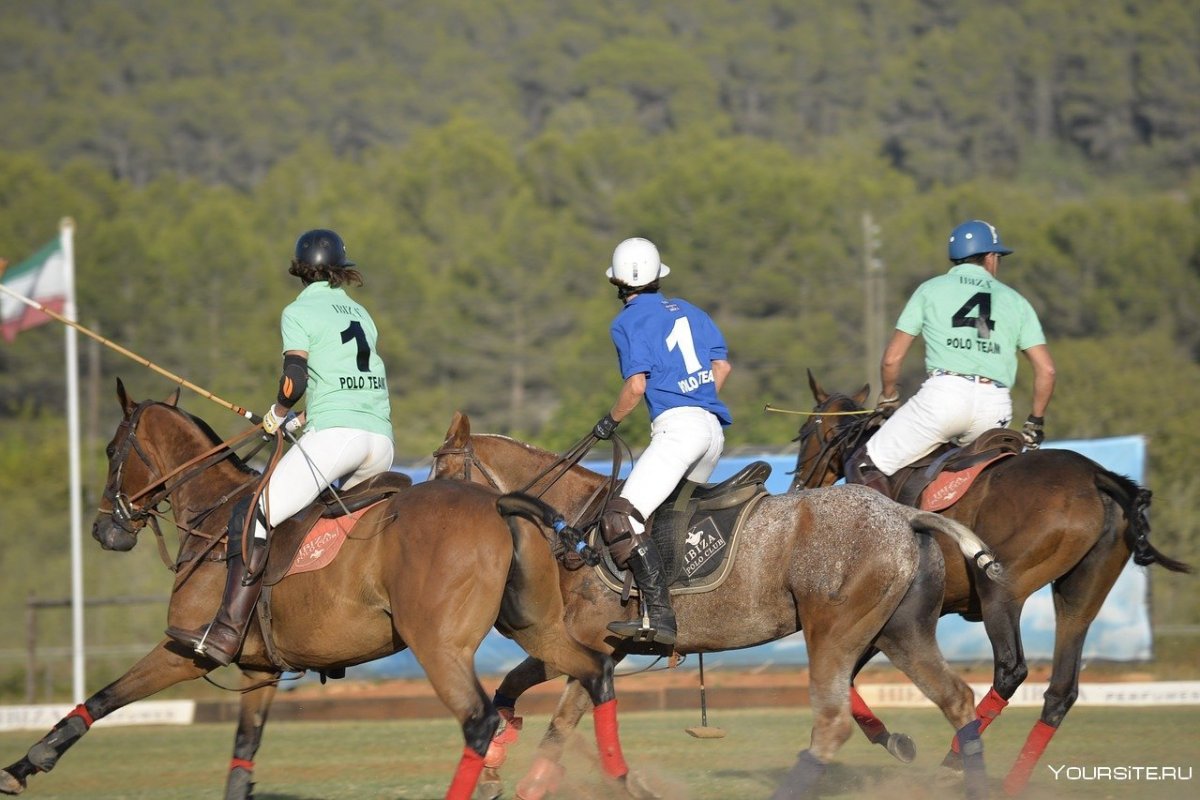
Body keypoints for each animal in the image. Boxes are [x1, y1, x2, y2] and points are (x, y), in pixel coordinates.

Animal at [0, 383, 638, 800]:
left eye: (112, 451)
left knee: (481, 720)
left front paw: (29, 761)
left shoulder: (187, 647)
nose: (104, 530)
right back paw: (623, 779)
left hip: (438, 645)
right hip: (535, 625)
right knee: (596, 672)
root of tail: (500, 502)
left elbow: (109, 695)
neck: (212, 514)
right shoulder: (258, 671)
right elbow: (242, 760)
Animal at [432, 412, 1003, 800]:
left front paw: (528, 781)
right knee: (956, 700)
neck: (574, 523)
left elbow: (563, 717)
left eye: (443, 474)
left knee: (833, 721)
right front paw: (494, 766)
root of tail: (906, 516)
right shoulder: (583, 643)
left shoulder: (597, 645)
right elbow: (514, 685)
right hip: (900, 631)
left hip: (835, 632)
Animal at [787, 371, 1190, 796]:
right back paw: (1008, 782)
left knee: (1011, 670)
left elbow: (840, 677)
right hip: (1081, 595)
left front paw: (888, 740)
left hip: (1000, 587)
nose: (799, 486)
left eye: (803, 432)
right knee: (1061, 688)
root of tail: (1098, 476)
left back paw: (954, 762)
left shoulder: (881, 618)